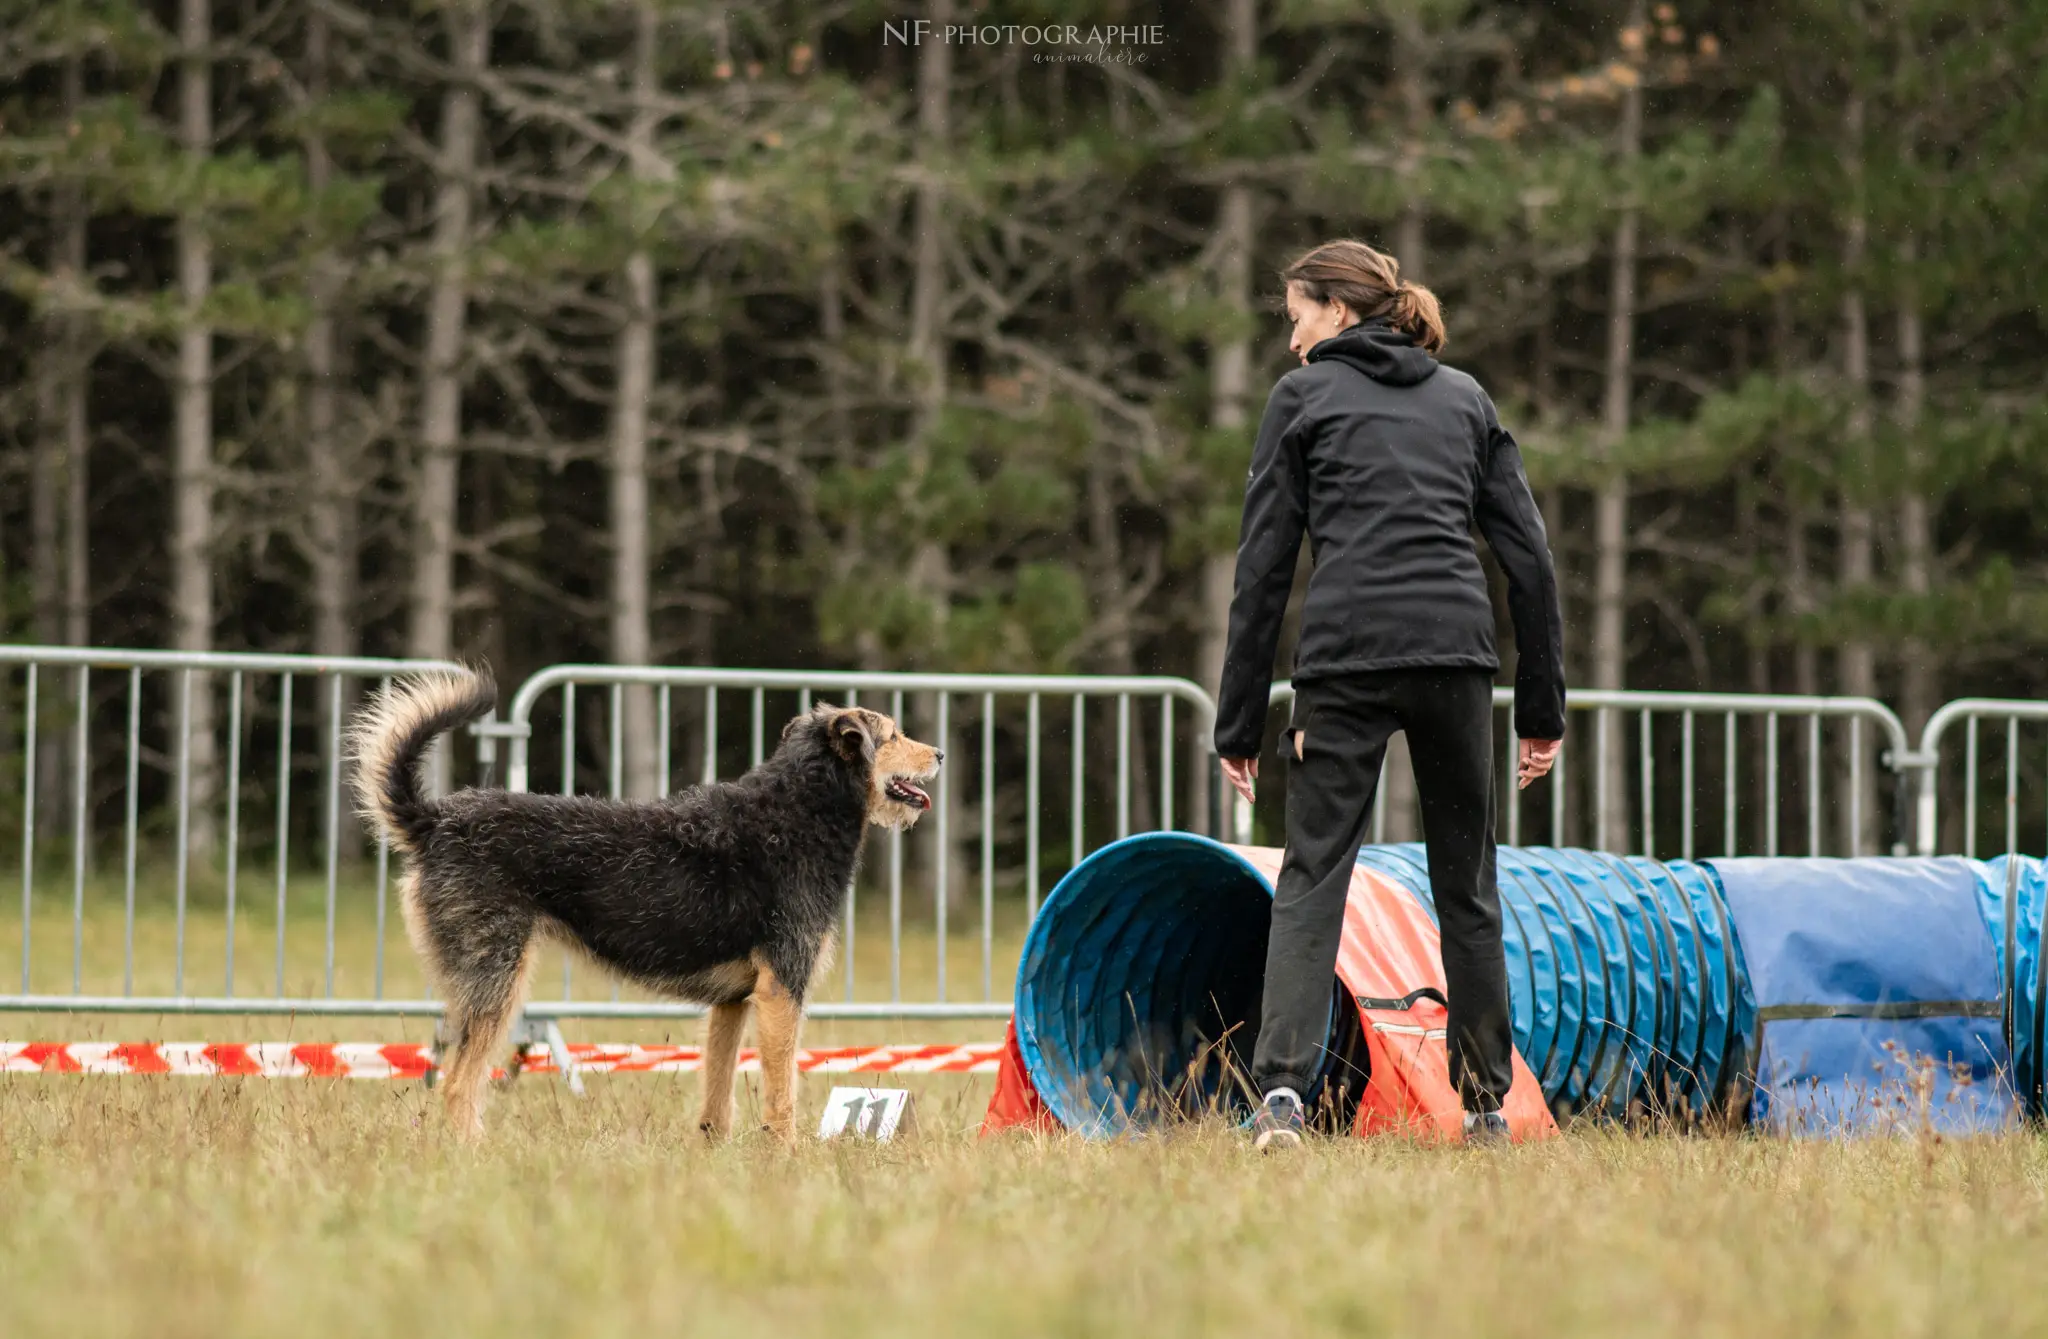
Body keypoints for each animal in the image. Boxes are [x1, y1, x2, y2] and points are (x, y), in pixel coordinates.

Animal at [352, 667, 942, 1146]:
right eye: (892, 735)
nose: (939, 755)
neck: (797, 811)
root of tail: (435, 821)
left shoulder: (735, 1002)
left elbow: (717, 1096)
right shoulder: (782, 990)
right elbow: (783, 1093)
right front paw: (787, 1158)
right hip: (496, 981)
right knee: (457, 1086)